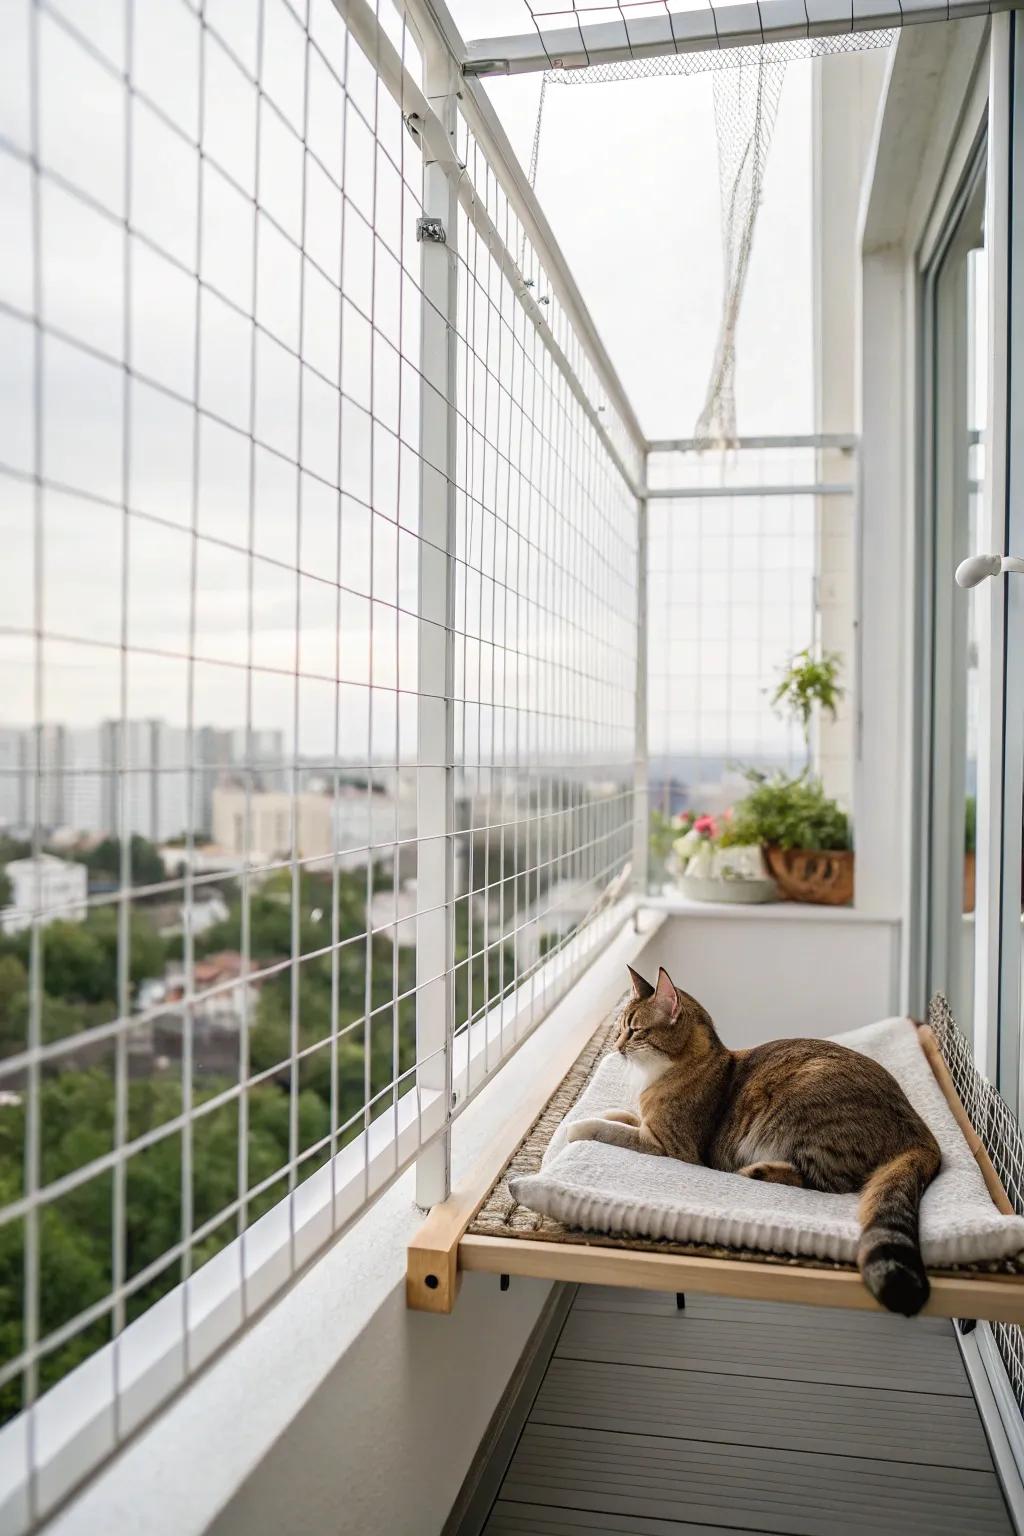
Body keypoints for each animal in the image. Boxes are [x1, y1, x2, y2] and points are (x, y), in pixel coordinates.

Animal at [568, 964, 945, 1314]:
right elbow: (622, 1117)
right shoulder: (647, 1123)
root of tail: (919, 1127)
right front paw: (603, 1113)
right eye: (621, 1028)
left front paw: (577, 1127)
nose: (616, 1046)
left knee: (829, 1183)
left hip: (804, 1110)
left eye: (634, 1031)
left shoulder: (668, 1144)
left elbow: (610, 1130)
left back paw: (760, 1172)